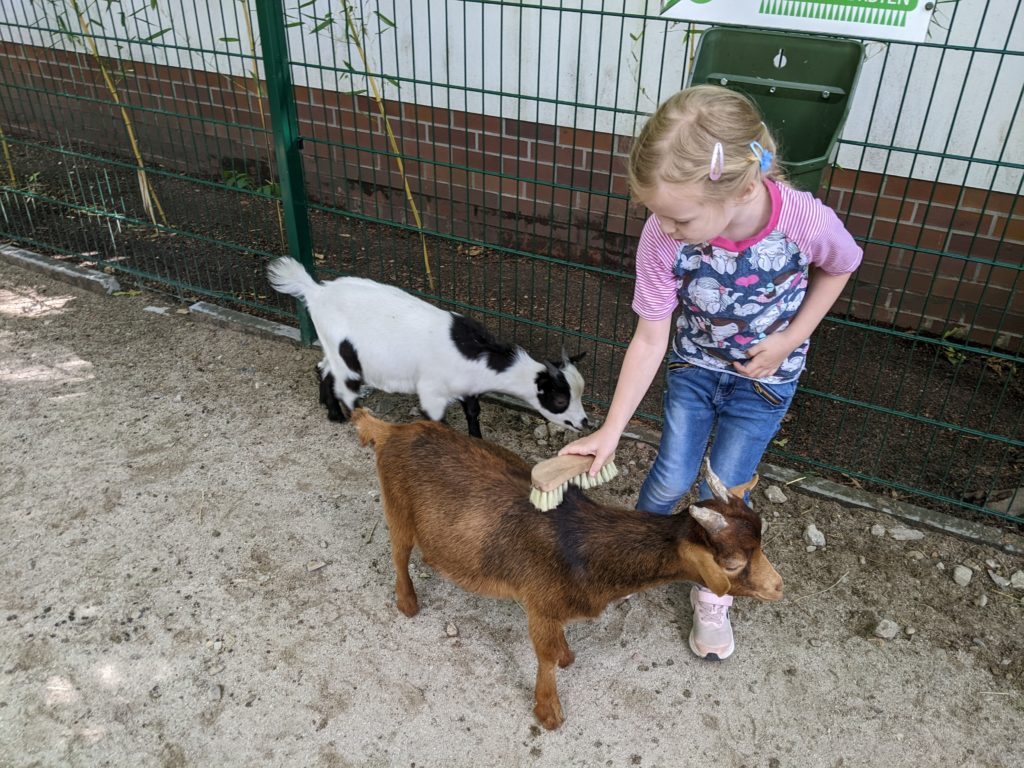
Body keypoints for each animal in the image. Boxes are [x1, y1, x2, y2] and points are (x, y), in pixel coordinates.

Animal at [268, 260, 593, 436]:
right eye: (560, 399)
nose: (585, 422)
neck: (476, 355)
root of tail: (315, 290)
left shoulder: (469, 387)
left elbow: (473, 412)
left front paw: (477, 441)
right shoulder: (432, 392)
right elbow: (438, 422)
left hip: (335, 348)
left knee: (324, 369)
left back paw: (332, 413)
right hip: (345, 355)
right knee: (344, 384)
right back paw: (355, 416)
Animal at [352, 411, 782, 729]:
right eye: (732, 564)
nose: (778, 587)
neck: (588, 548)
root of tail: (390, 430)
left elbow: (556, 648)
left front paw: (566, 655)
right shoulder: (539, 604)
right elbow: (543, 657)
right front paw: (549, 712)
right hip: (397, 509)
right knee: (398, 554)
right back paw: (407, 603)